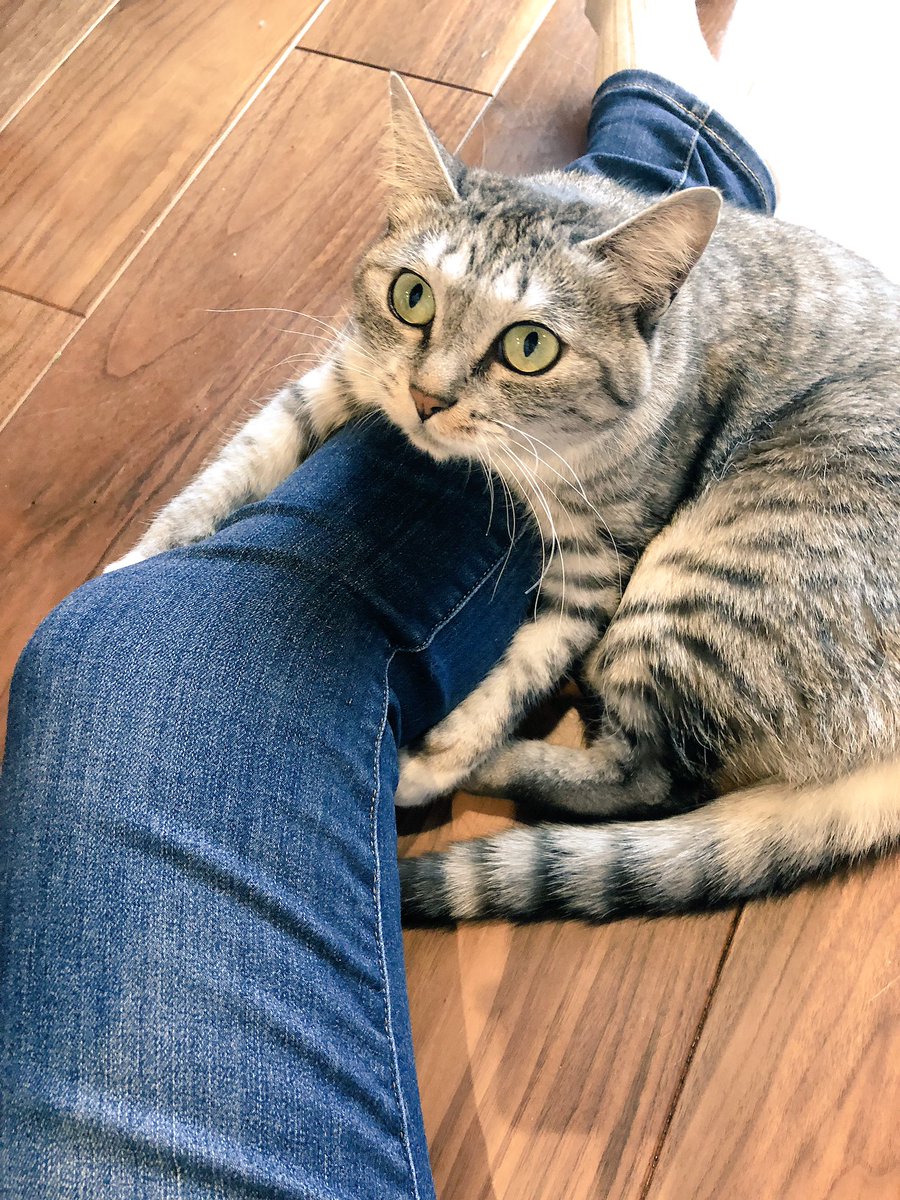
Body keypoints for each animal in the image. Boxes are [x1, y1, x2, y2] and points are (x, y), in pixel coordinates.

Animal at [107, 74, 900, 924]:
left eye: (530, 347)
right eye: (411, 296)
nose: (427, 398)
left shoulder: (600, 561)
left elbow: (529, 662)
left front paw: (445, 753)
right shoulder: (343, 372)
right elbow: (239, 463)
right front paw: (142, 556)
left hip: (699, 587)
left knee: (647, 777)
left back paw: (429, 770)